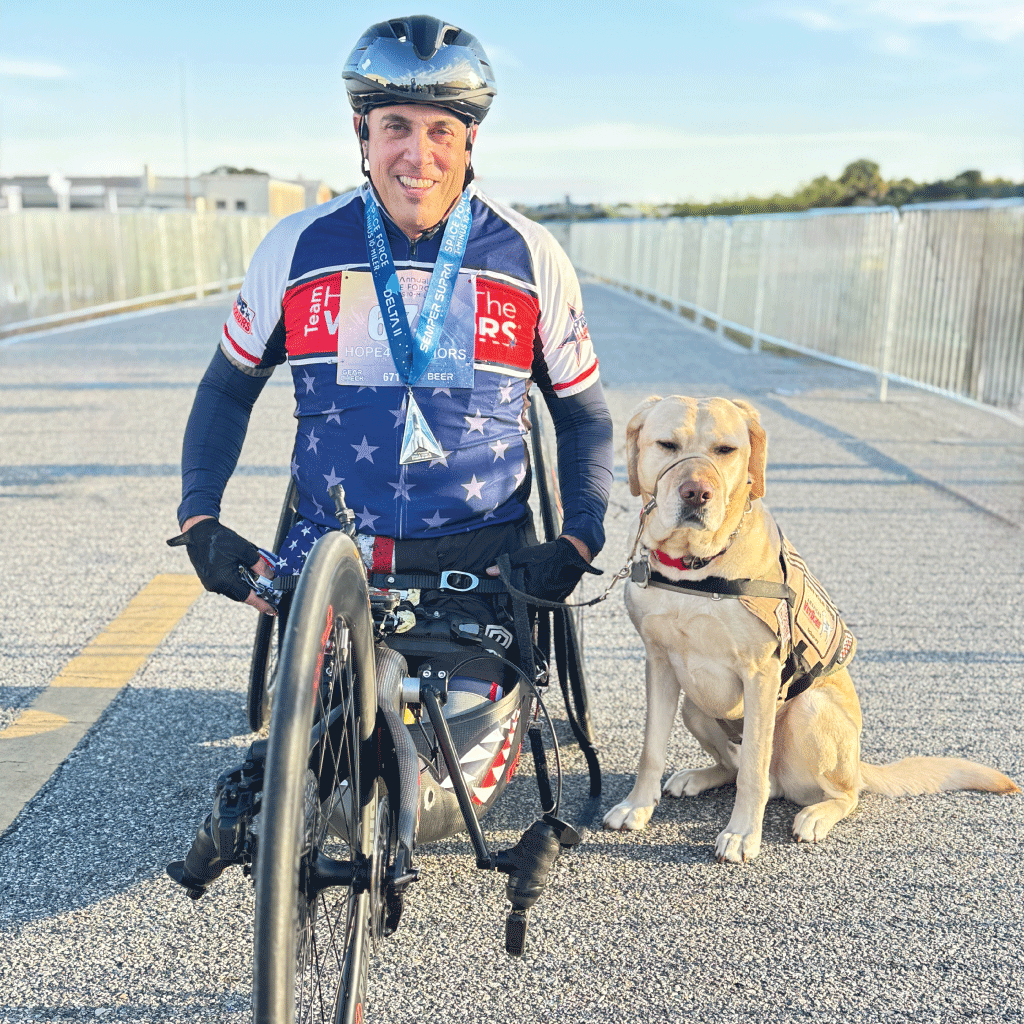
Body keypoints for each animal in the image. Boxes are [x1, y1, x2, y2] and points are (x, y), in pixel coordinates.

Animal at [603, 395, 1019, 863]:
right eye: (667, 445)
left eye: (725, 450)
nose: (696, 492)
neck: (695, 569)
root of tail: (858, 764)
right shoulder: (659, 664)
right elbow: (651, 750)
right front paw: (637, 806)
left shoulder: (760, 673)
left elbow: (753, 771)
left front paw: (743, 833)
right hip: (695, 704)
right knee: (736, 766)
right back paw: (700, 776)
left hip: (809, 711)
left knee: (829, 790)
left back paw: (817, 814)